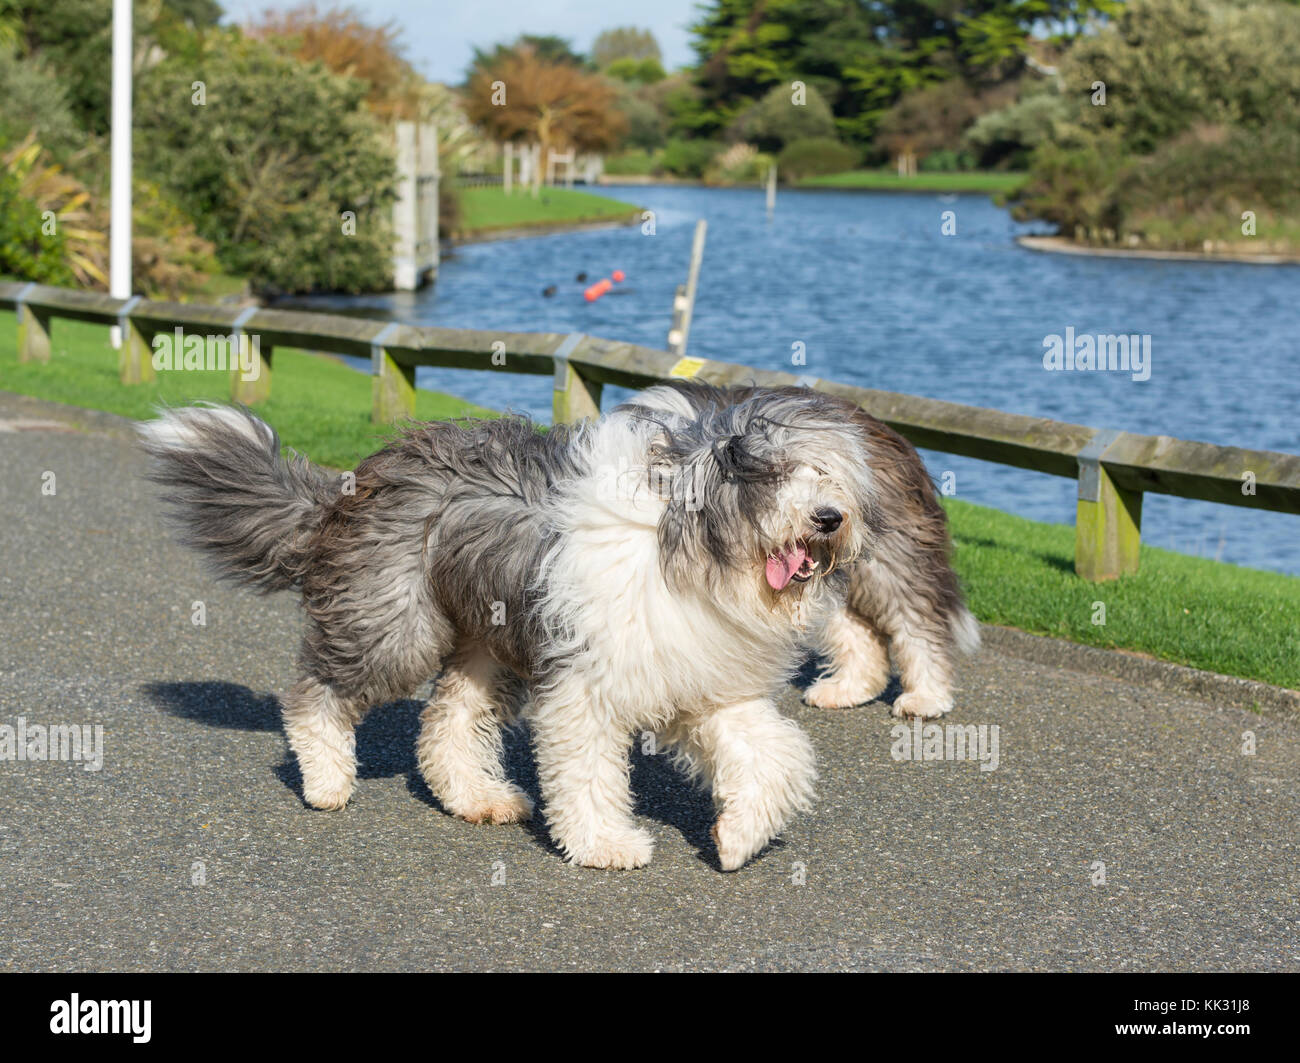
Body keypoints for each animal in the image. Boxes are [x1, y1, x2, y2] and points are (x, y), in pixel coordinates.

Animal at [134, 384, 873, 868]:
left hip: (486, 639)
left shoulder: (702, 677)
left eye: (828, 473)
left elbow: (773, 752)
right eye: (775, 472)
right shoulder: (585, 683)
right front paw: (606, 843)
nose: (830, 517)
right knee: (317, 691)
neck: (692, 545)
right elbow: (586, 769)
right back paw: (324, 781)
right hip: (398, 623)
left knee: (448, 720)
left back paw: (477, 796)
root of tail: (353, 485)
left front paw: (738, 836)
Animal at [618, 382, 977, 722]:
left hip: (888, 556)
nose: (829, 518)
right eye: (773, 473)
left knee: (916, 620)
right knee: (856, 629)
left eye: (821, 472)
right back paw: (847, 689)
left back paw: (925, 697)